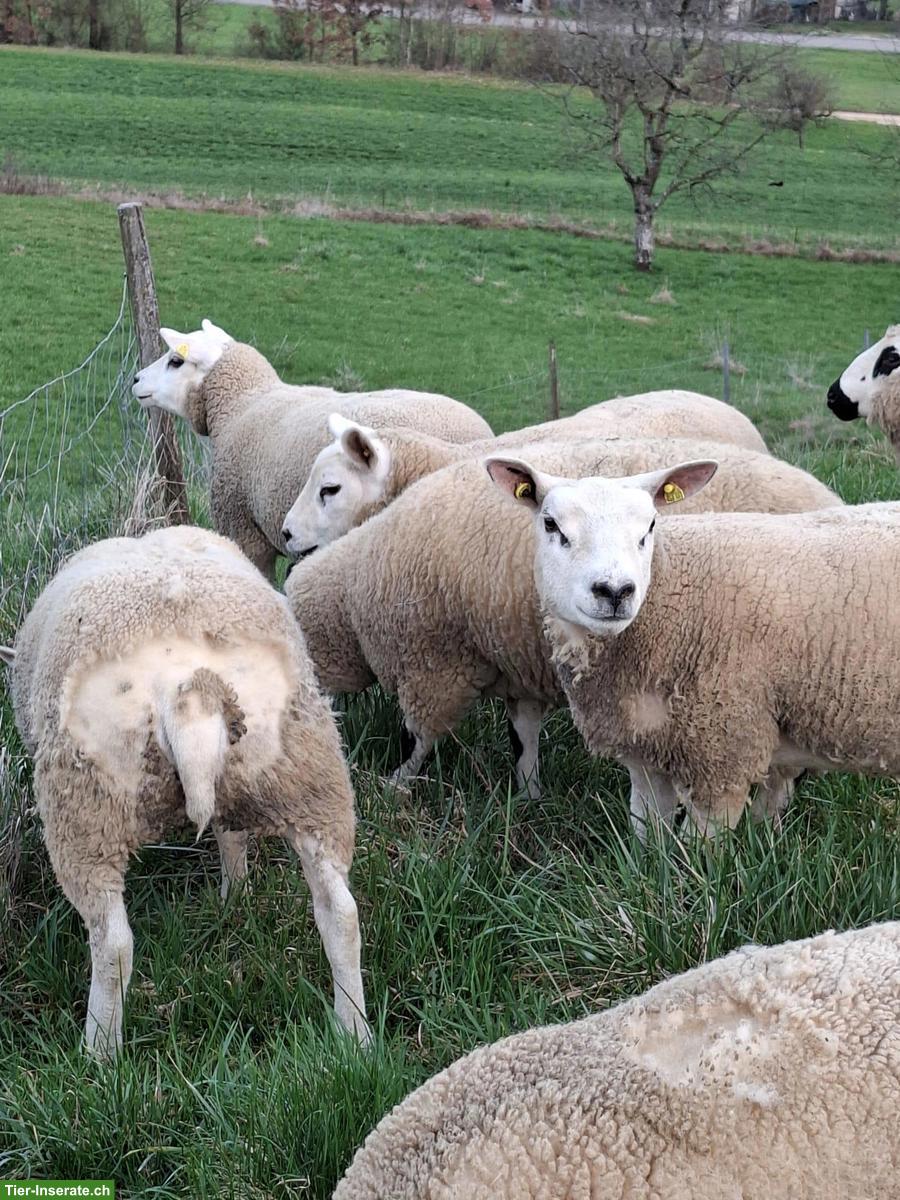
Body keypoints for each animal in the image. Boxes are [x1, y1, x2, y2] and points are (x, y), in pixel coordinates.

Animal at [3, 524, 368, 1055]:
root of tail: (187, 688)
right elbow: (231, 836)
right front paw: (234, 894)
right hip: (308, 777)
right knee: (340, 913)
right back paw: (355, 1034)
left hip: (87, 808)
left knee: (113, 943)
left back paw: (99, 1053)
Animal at [285, 440, 840, 803]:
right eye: (551, 524)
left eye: (331, 489)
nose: (614, 592)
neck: (358, 583)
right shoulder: (517, 660)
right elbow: (523, 734)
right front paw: (528, 793)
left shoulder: (433, 662)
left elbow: (417, 736)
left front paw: (393, 787)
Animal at [485, 451, 900, 834]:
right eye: (551, 524)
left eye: (651, 525)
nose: (615, 591)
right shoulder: (645, 752)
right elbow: (646, 836)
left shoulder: (722, 754)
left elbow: (697, 856)